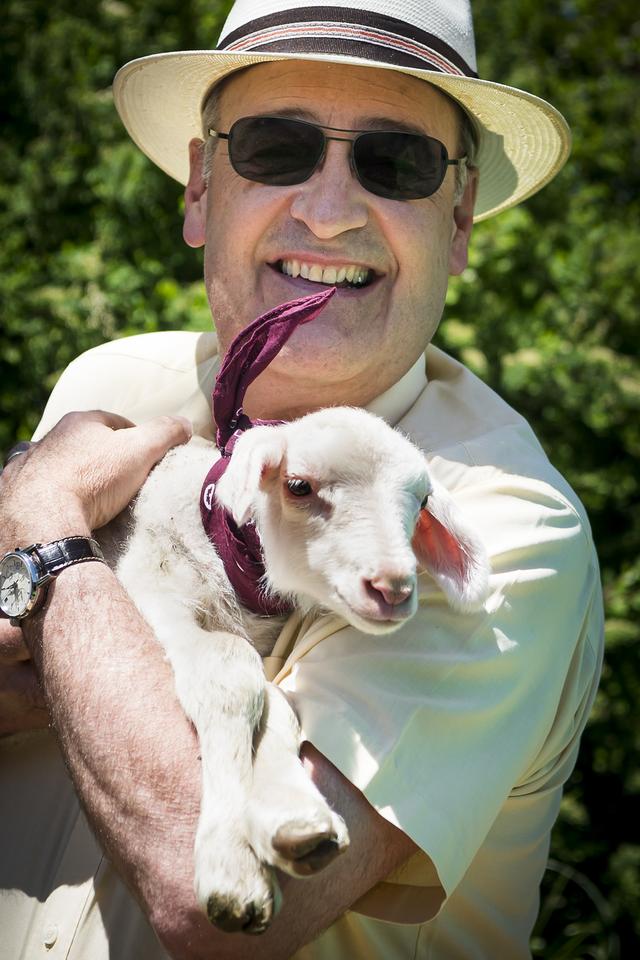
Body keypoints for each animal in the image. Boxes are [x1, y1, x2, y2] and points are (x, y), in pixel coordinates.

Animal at [112, 402, 488, 932]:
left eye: (421, 501)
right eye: (298, 486)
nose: (392, 588)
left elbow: (278, 702)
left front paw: (294, 818)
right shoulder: (151, 584)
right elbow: (228, 670)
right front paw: (232, 865)